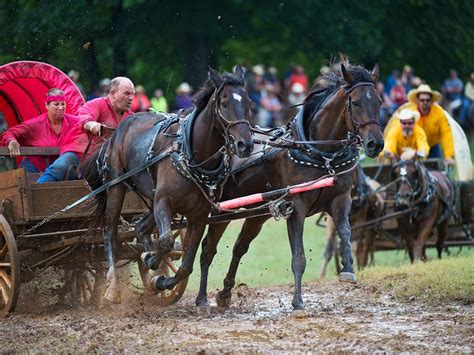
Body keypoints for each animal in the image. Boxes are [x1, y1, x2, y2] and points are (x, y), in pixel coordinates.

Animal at [86, 67, 254, 304]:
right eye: (224, 103)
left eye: (249, 102)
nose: (245, 145)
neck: (190, 154)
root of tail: (119, 129)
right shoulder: (163, 202)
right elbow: (165, 241)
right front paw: (153, 262)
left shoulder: (199, 214)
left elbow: (185, 265)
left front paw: (159, 279)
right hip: (116, 186)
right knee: (111, 233)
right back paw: (112, 287)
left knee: (141, 228)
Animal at [196, 61, 386, 314]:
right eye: (355, 102)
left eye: (379, 102)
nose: (376, 144)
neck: (320, 154)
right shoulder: (297, 206)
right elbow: (299, 257)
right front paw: (298, 302)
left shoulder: (341, 198)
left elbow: (345, 232)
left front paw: (348, 270)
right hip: (220, 210)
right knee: (208, 249)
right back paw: (201, 298)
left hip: (258, 213)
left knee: (239, 247)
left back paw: (225, 293)